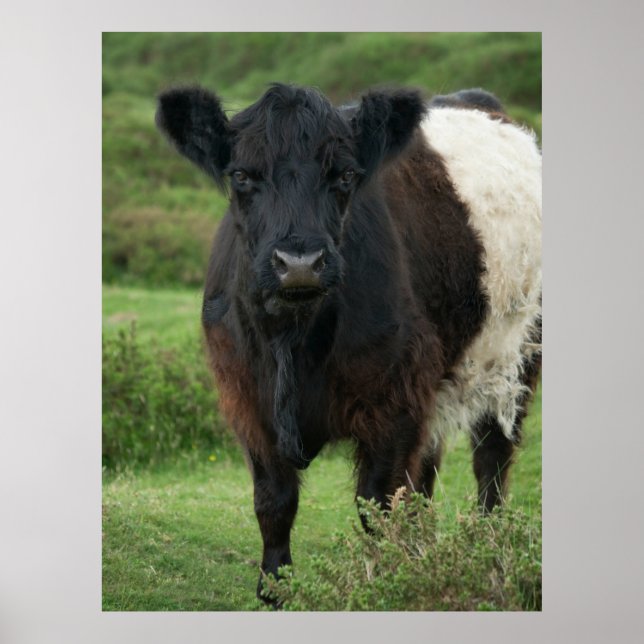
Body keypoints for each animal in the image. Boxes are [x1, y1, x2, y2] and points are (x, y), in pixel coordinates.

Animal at [155, 82, 542, 602]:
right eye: (241, 175)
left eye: (345, 176)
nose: (299, 263)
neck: (294, 340)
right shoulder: (246, 398)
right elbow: (273, 501)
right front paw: (275, 589)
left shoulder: (395, 400)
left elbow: (376, 505)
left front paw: (385, 584)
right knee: (429, 470)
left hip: (517, 355)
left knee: (493, 457)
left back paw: (488, 549)